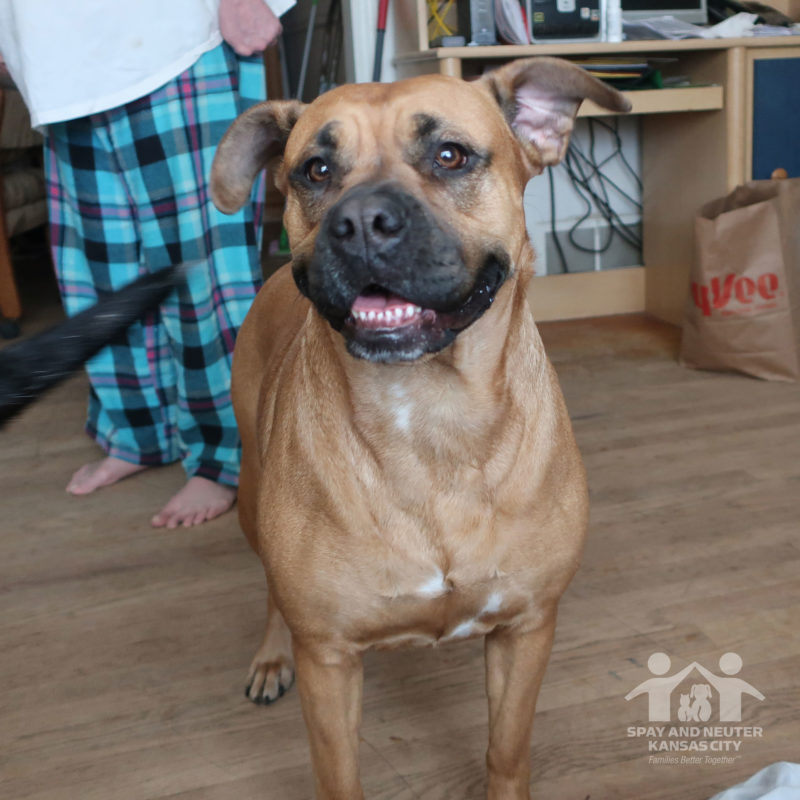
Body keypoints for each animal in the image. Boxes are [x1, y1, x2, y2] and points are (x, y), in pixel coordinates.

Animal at [211, 57, 632, 800]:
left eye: (449, 155)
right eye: (316, 170)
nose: (360, 221)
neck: (432, 416)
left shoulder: (526, 629)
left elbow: (506, 752)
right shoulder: (330, 661)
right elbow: (340, 778)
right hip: (251, 500)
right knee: (268, 590)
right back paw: (269, 656)